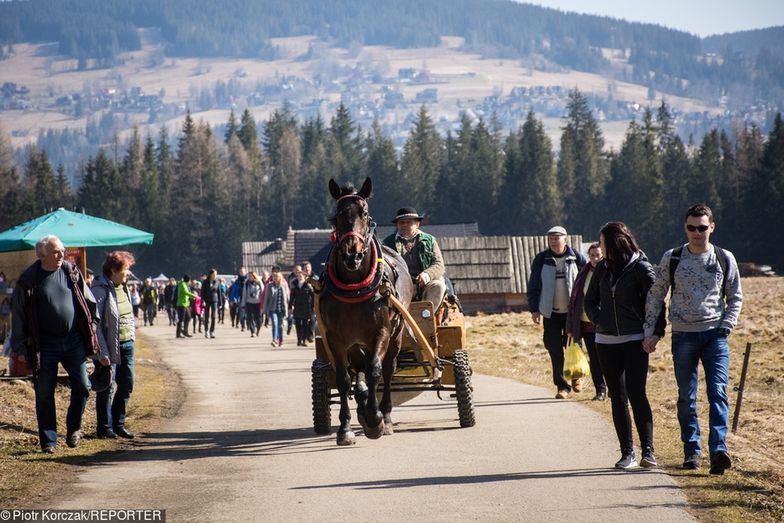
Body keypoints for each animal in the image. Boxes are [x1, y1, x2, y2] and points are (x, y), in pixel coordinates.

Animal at [318, 177, 416, 446]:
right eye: (337, 215)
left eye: (365, 212)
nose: (352, 254)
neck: (354, 288)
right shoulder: (335, 338)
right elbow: (344, 379)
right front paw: (345, 429)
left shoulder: (381, 331)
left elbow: (374, 371)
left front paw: (375, 419)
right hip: (355, 341)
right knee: (357, 370)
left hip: (396, 335)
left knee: (387, 370)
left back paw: (385, 415)